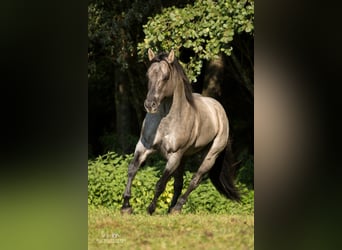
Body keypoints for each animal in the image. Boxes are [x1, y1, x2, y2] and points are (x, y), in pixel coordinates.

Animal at [121, 48, 239, 215]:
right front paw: (126, 206)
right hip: (184, 158)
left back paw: (177, 207)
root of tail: (219, 110)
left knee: (195, 180)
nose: (150, 105)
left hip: (209, 156)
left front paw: (150, 209)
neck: (165, 121)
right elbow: (132, 170)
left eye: (165, 77)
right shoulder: (144, 146)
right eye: (148, 75)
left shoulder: (174, 155)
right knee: (179, 182)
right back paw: (171, 209)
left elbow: (161, 183)